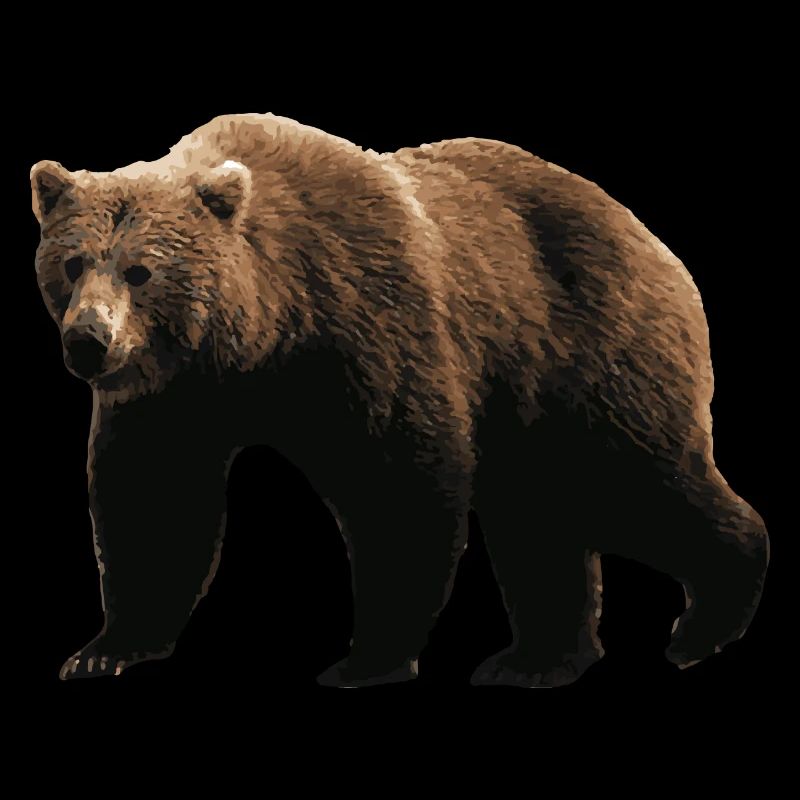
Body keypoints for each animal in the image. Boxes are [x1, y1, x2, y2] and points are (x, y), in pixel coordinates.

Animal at [31, 113, 769, 687]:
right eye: (72, 262)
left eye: (140, 270)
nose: (89, 341)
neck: (261, 333)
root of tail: (650, 238)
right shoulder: (175, 396)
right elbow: (153, 501)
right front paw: (104, 651)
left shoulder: (366, 321)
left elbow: (398, 481)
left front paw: (367, 658)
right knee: (540, 513)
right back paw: (536, 658)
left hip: (585, 347)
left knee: (634, 478)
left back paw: (703, 623)